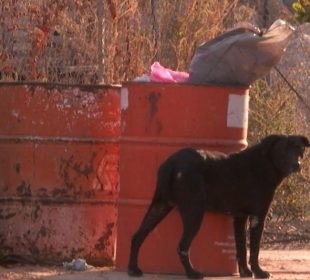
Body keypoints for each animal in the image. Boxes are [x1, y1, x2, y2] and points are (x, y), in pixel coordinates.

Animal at [127, 135, 308, 278]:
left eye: (299, 149)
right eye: (284, 150)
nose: (297, 164)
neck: (266, 162)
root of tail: (172, 164)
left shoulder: (240, 218)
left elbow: (241, 247)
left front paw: (245, 272)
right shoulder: (258, 216)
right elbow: (255, 249)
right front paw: (259, 272)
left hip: (160, 206)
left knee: (137, 236)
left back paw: (133, 268)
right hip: (194, 212)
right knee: (182, 246)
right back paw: (192, 273)